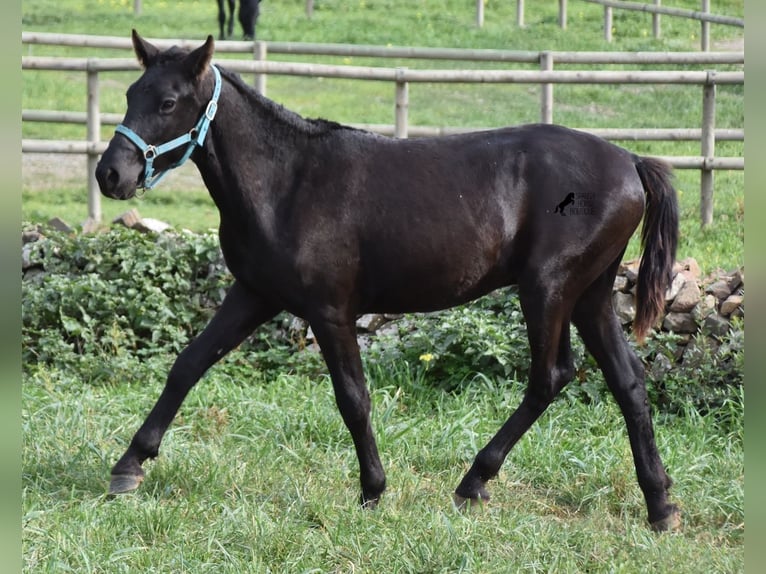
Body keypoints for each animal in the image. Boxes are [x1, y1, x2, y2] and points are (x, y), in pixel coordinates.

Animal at [97, 32, 684, 536]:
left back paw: (474, 483)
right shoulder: (254, 294)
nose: (110, 174)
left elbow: (353, 398)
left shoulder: (330, 311)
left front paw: (373, 490)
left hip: (548, 289)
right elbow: (189, 364)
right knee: (627, 381)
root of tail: (631, 161)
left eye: (168, 102)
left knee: (550, 376)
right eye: (129, 93)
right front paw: (129, 466)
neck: (289, 182)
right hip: (590, 296)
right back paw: (659, 504)